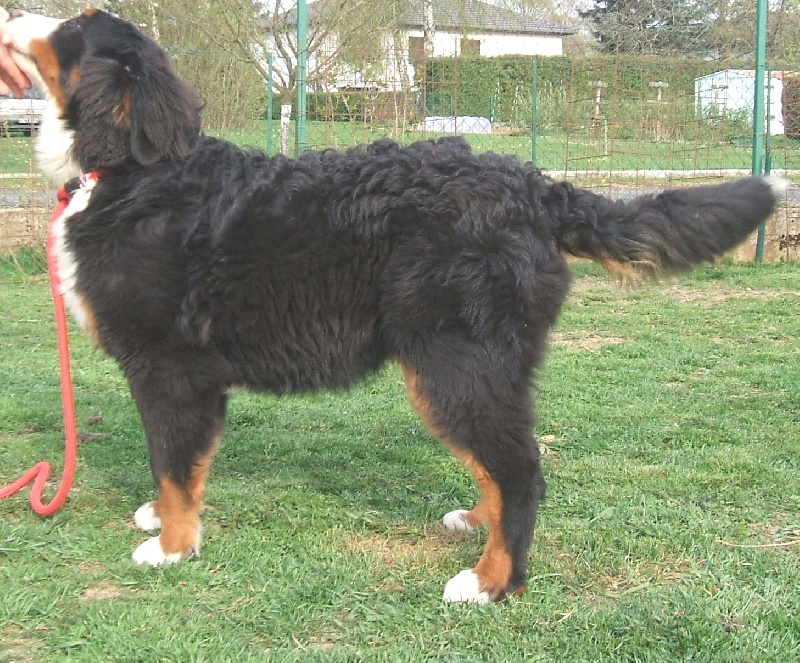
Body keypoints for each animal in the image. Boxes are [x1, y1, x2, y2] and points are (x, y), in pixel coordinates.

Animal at [4, 8, 784, 603]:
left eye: (70, 30)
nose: (16, 16)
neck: (131, 174)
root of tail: (530, 186)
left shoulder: (170, 368)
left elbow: (172, 460)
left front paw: (171, 544)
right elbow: (175, 463)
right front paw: (160, 520)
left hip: (452, 362)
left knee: (523, 470)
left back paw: (490, 581)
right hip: (476, 365)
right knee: (502, 462)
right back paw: (477, 522)